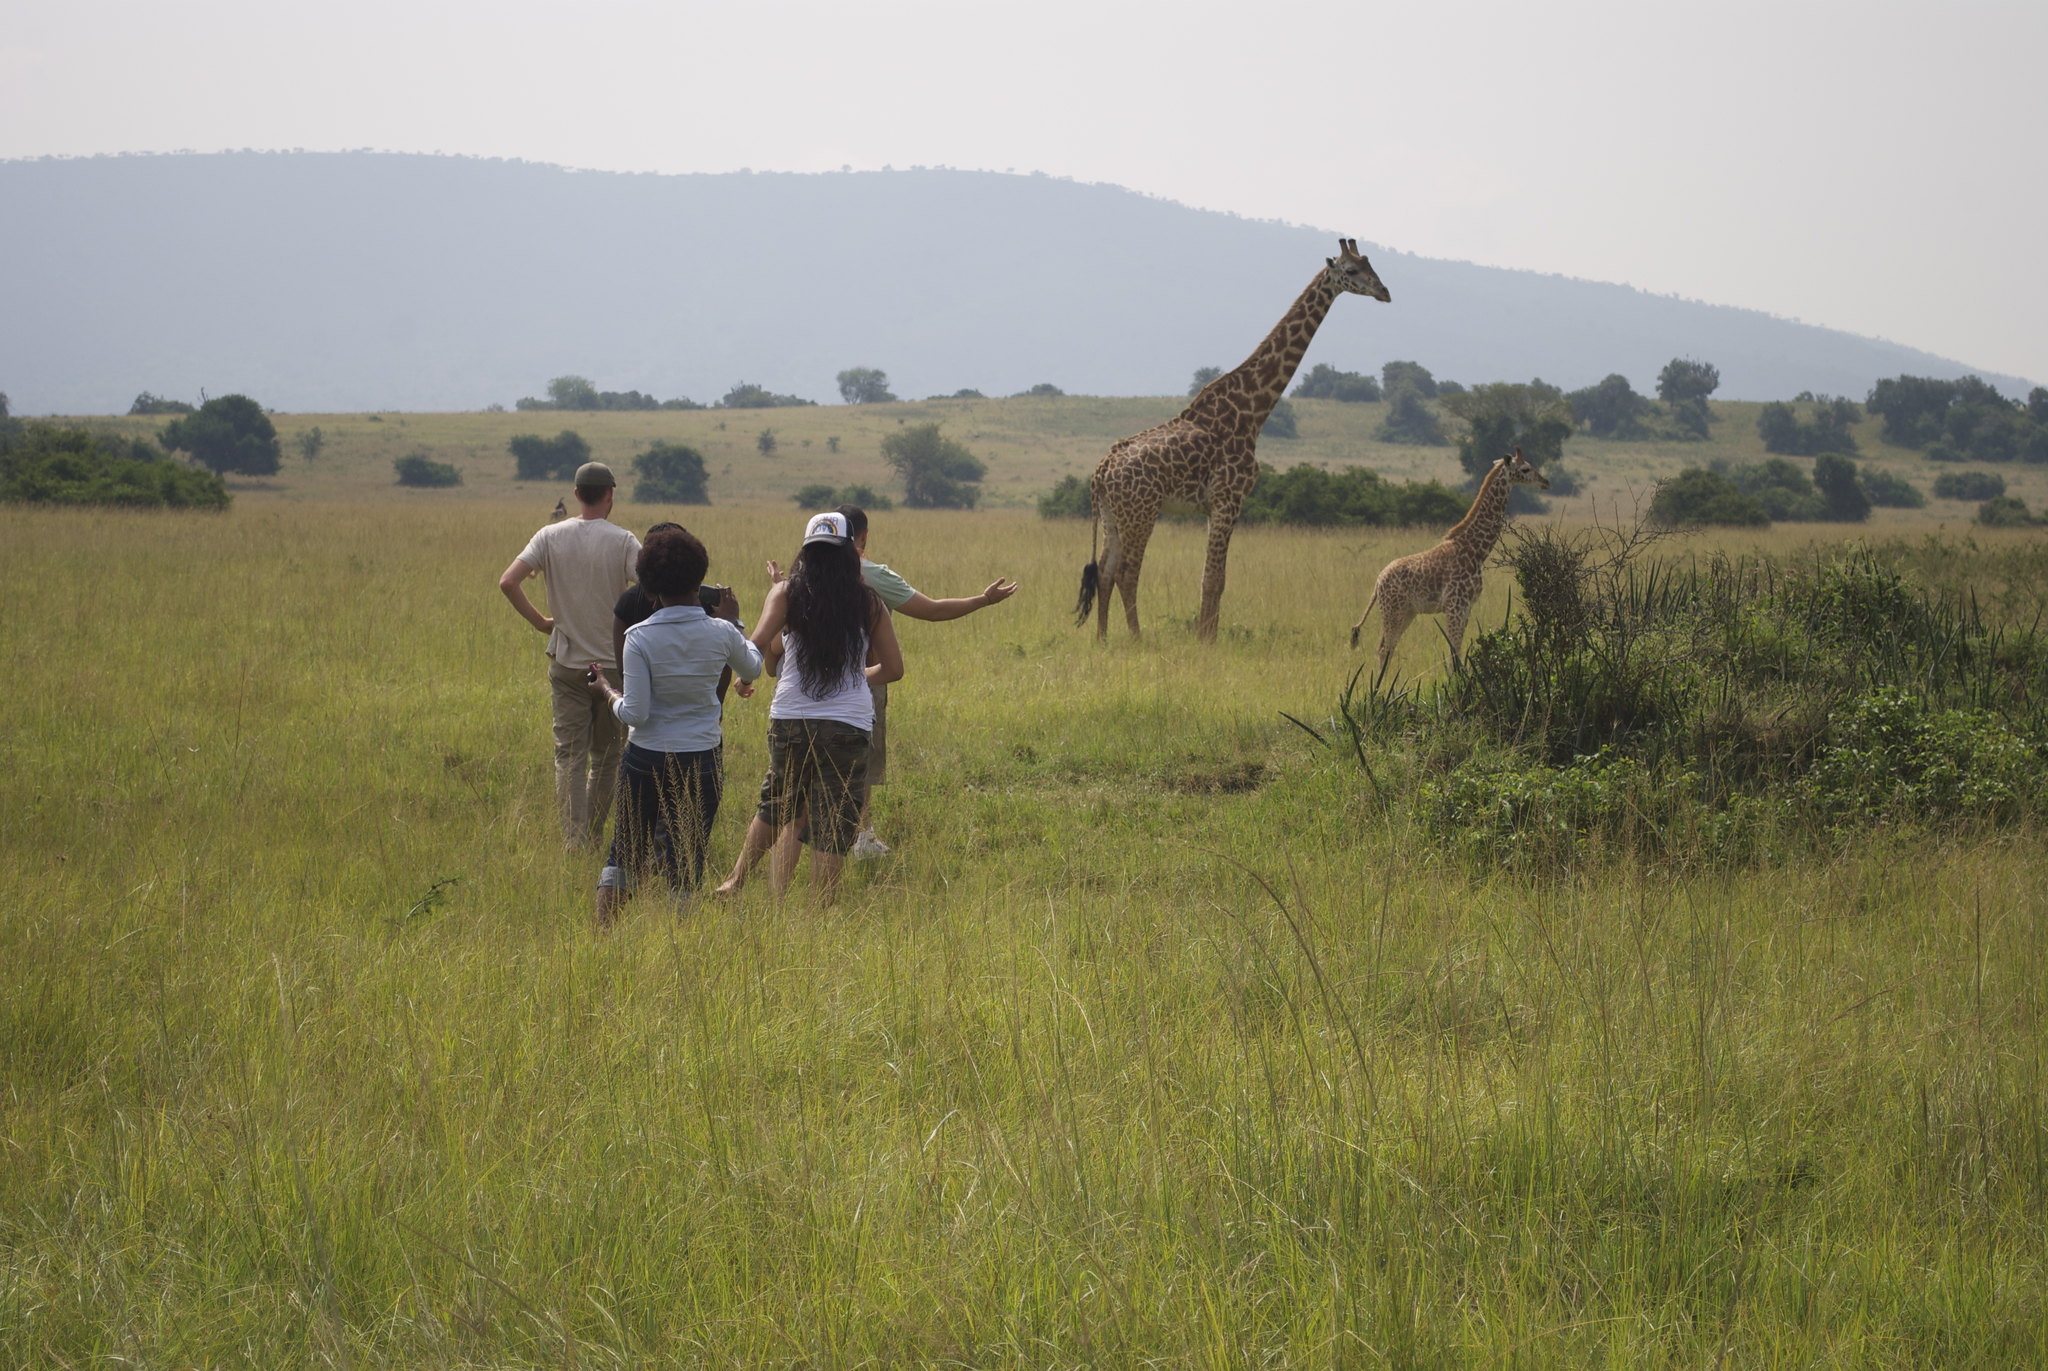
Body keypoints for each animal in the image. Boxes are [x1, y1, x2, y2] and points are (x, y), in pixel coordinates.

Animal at [1072, 238, 1391, 642]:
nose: (1385, 292)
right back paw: (1137, 637)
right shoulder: (1229, 499)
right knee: (1128, 572)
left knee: (1105, 571)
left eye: (1372, 266)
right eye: (1351, 271)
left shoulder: (1216, 506)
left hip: (1114, 517)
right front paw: (1205, 641)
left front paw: (1205, 635)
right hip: (1142, 512)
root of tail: (1101, 472)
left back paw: (1102, 638)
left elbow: (1214, 578)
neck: (1252, 410)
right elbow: (1214, 578)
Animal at [1349, 447, 1550, 670]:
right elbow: (1455, 655)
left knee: (1388, 648)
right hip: (1393, 611)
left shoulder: (1467, 607)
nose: (1546, 482)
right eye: (1525, 469)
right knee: (1384, 649)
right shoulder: (1455, 605)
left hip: (1408, 612)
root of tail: (1377, 584)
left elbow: (1456, 654)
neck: (1475, 551)